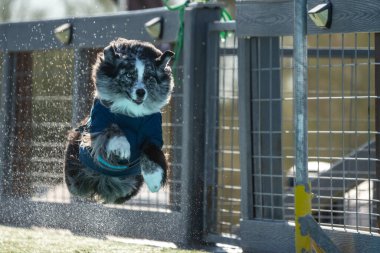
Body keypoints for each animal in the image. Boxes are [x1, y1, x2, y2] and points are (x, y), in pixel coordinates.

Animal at [63, 38, 174, 204]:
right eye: (128, 75)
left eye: (149, 77)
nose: (141, 92)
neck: (131, 114)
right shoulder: (99, 123)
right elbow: (113, 129)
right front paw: (122, 148)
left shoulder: (153, 134)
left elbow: (151, 150)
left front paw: (154, 179)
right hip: (76, 173)